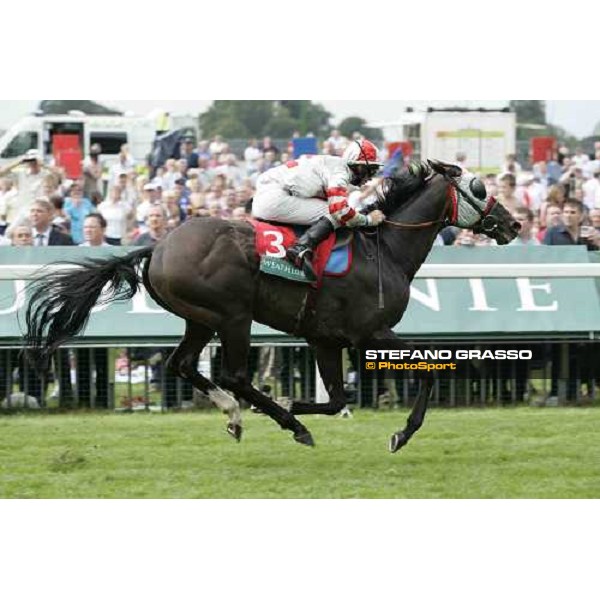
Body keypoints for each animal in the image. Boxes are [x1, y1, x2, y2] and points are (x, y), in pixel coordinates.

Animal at [23, 162, 520, 452]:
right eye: (479, 186)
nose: (513, 223)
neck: (386, 249)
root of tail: (158, 246)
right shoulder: (369, 333)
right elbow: (431, 369)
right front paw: (401, 432)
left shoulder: (324, 338)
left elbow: (337, 398)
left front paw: (291, 403)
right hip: (232, 316)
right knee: (233, 375)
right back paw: (283, 422)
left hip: (198, 319)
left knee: (182, 364)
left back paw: (239, 415)